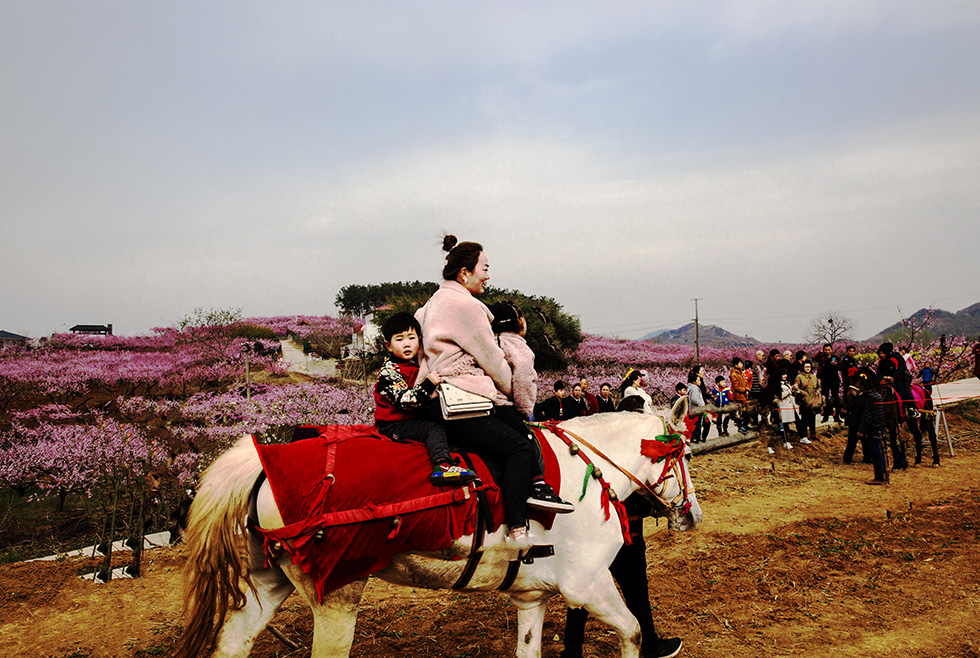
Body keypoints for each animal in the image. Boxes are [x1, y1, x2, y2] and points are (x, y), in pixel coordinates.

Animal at [174, 412, 696, 652]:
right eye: (685, 455)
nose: (692, 515)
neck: (586, 473)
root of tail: (263, 465)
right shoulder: (586, 584)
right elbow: (633, 631)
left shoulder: (533, 597)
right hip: (336, 598)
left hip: (266, 584)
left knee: (231, 643)